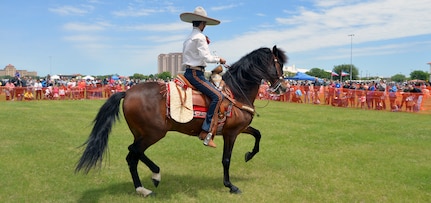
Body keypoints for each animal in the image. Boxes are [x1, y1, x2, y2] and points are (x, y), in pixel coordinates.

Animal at [76, 45, 288, 197]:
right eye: (279, 64)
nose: (284, 87)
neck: (236, 92)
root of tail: (127, 92)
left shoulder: (239, 128)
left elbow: (258, 135)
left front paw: (249, 155)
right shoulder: (231, 133)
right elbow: (226, 159)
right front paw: (230, 186)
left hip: (142, 133)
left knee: (133, 156)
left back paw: (144, 187)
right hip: (154, 133)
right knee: (133, 152)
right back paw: (153, 177)